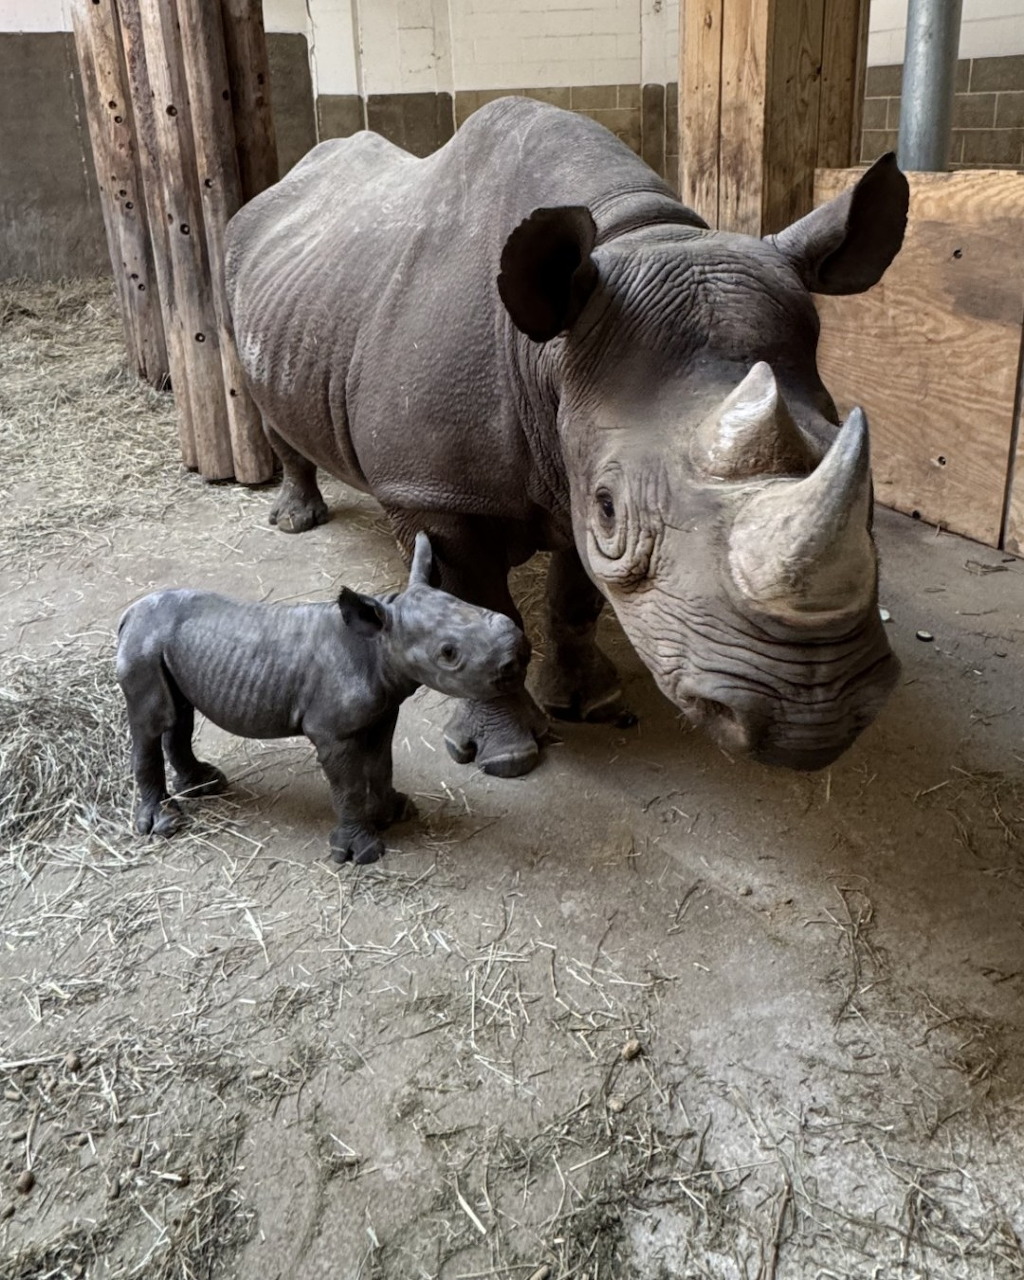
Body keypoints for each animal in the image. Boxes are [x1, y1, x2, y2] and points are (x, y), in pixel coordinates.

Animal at [116, 533, 529, 863]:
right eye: (448, 653)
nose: (517, 656)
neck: (379, 641)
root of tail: (128, 614)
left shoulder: (383, 711)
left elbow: (382, 763)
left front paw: (394, 812)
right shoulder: (333, 732)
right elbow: (347, 786)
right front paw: (363, 852)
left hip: (163, 647)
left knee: (178, 714)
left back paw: (205, 785)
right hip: (142, 647)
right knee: (152, 721)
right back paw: (165, 824)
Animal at [225, 96, 908, 778]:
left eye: (859, 468)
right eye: (610, 508)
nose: (813, 721)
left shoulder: (573, 454)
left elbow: (575, 598)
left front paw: (589, 702)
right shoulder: (434, 493)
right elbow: (481, 608)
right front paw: (505, 755)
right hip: (241, 266)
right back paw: (296, 521)